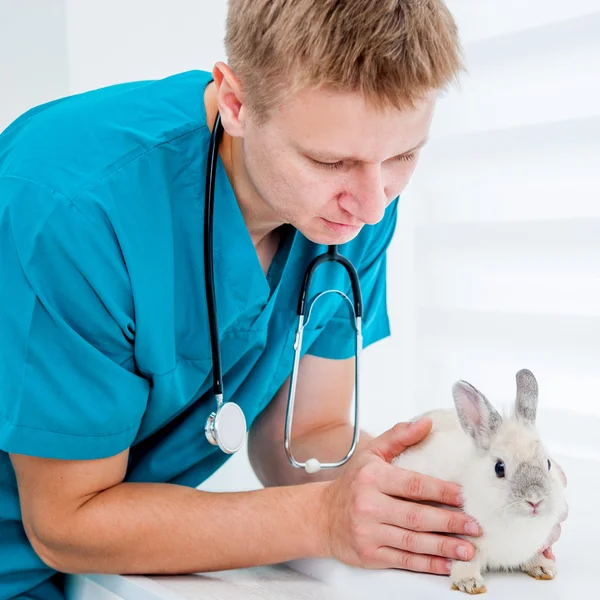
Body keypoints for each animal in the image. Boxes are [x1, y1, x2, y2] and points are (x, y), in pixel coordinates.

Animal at [390, 368, 568, 592]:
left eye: (548, 463)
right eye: (499, 468)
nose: (535, 499)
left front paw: (545, 568)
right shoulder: (464, 544)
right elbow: (465, 562)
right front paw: (470, 584)